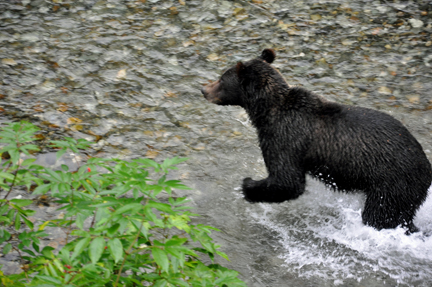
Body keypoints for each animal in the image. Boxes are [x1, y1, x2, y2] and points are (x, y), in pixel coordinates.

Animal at [202, 49, 432, 234]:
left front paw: (249, 185)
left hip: (392, 183)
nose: (204, 90)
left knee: (381, 215)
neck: (267, 111)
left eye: (221, 79)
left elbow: (288, 180)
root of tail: (426, 166)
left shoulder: (285, 137)